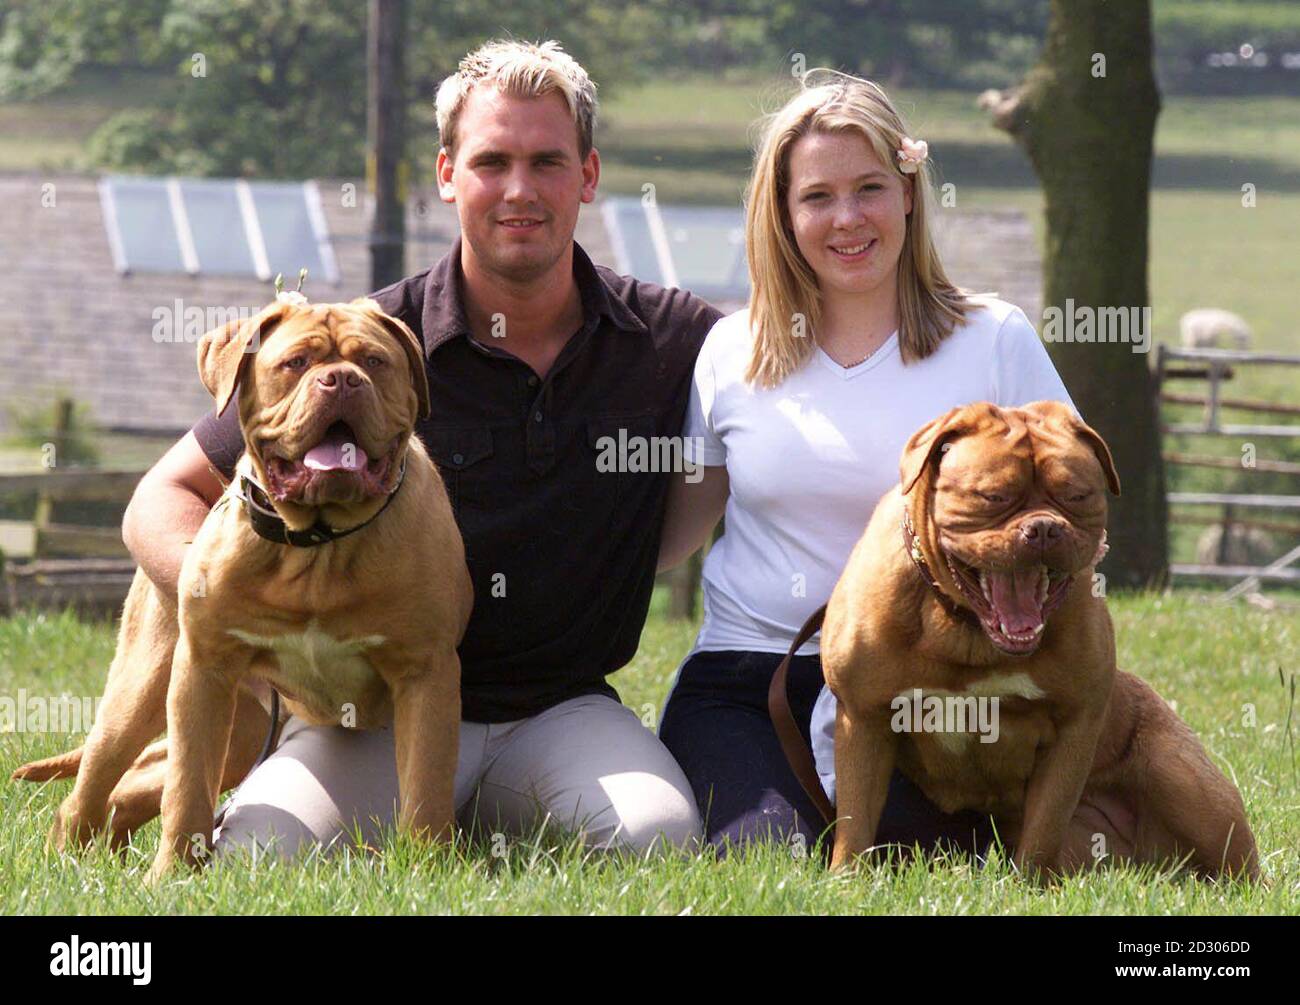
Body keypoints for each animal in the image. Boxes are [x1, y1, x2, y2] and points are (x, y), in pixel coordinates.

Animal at [15, 297, 473, 878]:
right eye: (296, 363)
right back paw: (71, 862)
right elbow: (188, 789)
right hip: (146, 692)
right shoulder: (202, 671)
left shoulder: (425, 674)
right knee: (98, 782)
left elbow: (426, 787)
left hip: (246, 729)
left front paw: (425, 868)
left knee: (137, 781)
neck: (320, 544)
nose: (343, 380)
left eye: (374, 361)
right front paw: (170, 877)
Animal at [821, 400, 1258, 878]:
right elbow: (855, 820)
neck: (968, 632)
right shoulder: (864, 719)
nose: (1045, 528)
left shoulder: (1071, 729)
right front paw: (846, 879)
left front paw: (1026, 884)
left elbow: (1044, 827)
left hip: (1183, 780)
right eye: (993, 497)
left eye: (1077, 497)